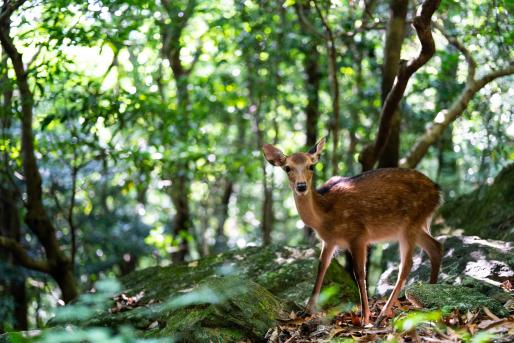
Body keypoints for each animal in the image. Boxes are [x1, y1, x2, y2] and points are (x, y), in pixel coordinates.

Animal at [262, 137, 442, 328]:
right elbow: (321, 267)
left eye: (311, 166)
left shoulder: (358, 235)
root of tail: (438, 192)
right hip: (414, 225)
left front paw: (365, 317)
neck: (324, 218)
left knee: (406, 265)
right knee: (436, 246)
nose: (301, 186)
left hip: (411, 223)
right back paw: (432, 291)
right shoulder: (329, 241)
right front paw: (306, 310)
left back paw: (382, 315)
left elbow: (359, 273)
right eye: (287, 168)